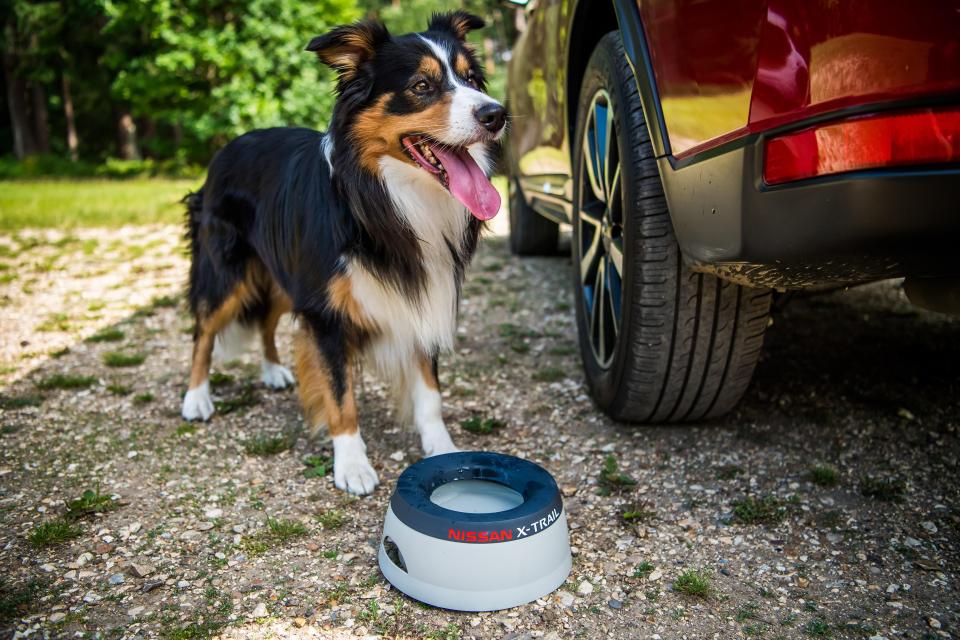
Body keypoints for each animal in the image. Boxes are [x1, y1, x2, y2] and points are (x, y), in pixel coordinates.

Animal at [182, 12, 510, 498]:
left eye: (471, 79)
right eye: (421, 86)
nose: (496, 114)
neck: (382, 195)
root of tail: (229, 145)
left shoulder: (423, 292)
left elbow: (429, 390)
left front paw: (441, 448)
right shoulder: (326, 313)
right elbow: (339, 394)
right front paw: (353, 465)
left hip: (287, 274)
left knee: (265, 319)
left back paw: (272, 370)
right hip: (227, 269)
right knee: (204, 330)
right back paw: (196, 397)